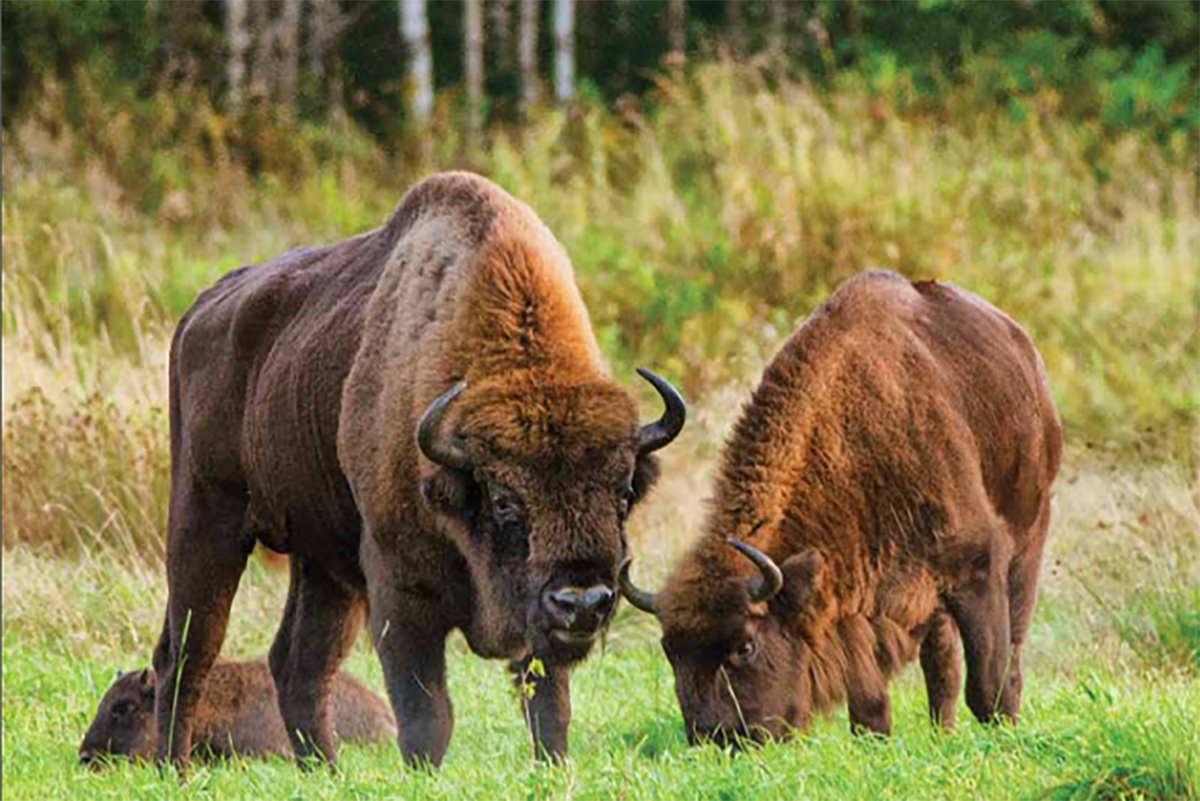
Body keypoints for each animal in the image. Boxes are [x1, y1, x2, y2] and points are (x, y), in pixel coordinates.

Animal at [152, 172, 686, 767]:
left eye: (623, 494)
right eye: (504, 500)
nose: (583, 602)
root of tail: (200, 311)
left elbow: (549, 708)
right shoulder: (400, 596)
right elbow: (428, 715)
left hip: (321, 564)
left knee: (297, 665)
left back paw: (327, 773)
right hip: (205, 520)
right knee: (188, 652)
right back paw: (176, 770)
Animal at [619, 268, 1060, 743]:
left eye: (745, 646)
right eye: (671, 652)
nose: (715, 737)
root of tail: (1026, 352)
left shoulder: (978, 567)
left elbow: (988, 684)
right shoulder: (855, 596)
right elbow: (870, 698)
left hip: (1029, 539)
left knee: (1009, 645)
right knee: (941, 665)